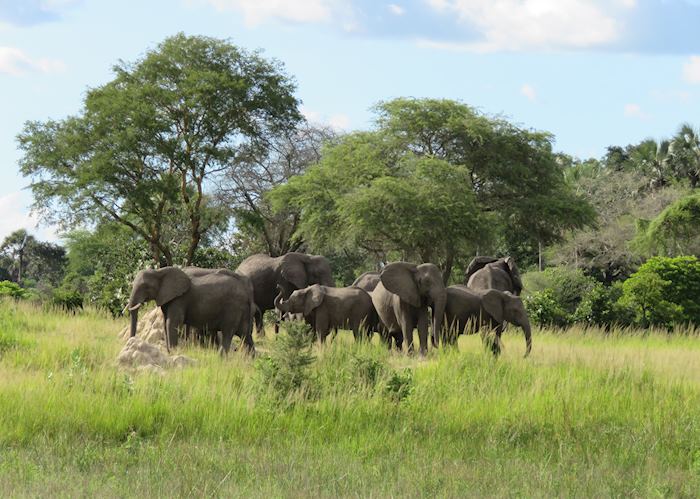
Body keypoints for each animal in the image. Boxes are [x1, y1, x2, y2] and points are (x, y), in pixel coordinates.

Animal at [127, 266, 255, 355]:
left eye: (145, 287)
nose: (131, 341)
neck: (159, 271)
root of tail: (247, 293)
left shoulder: (180, 299)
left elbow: (172, 323)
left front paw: (174, 353)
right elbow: (165, 323)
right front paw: (170, 353)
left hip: (233, 308)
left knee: (228, 333)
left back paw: (221, 358)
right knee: (245, 334)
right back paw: (250, 361)